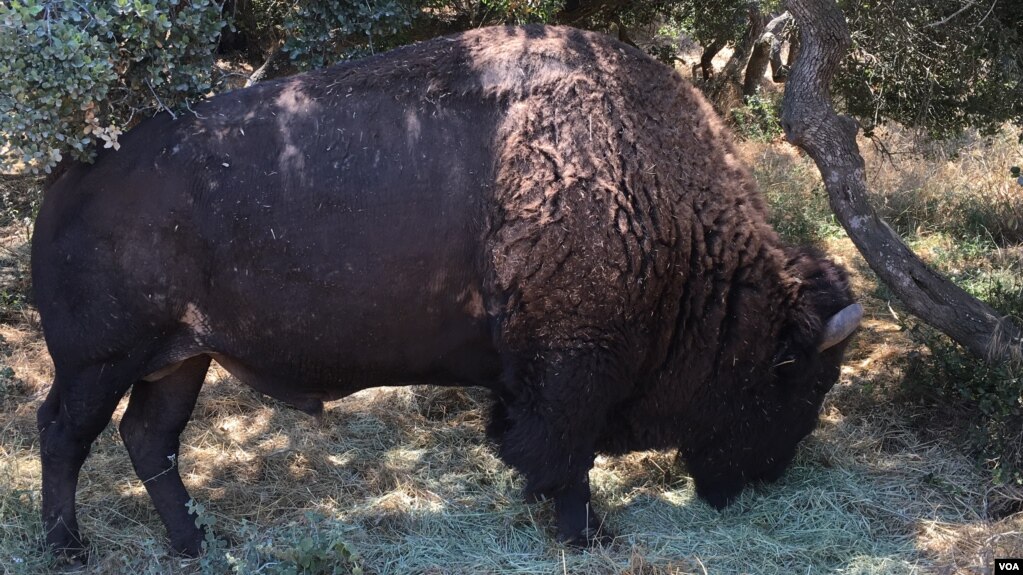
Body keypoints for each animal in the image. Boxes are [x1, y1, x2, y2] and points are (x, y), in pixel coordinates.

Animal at [31, 23, 859, 556]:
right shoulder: (572, 371)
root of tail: (71, 172)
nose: (764, 478)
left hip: (180, 357)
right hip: (99, 361)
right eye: (797, 381)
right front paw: (588, 533)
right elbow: (567, 456)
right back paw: (70, 547)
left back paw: (196, 543)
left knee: (149, 437)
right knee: (65, 432)